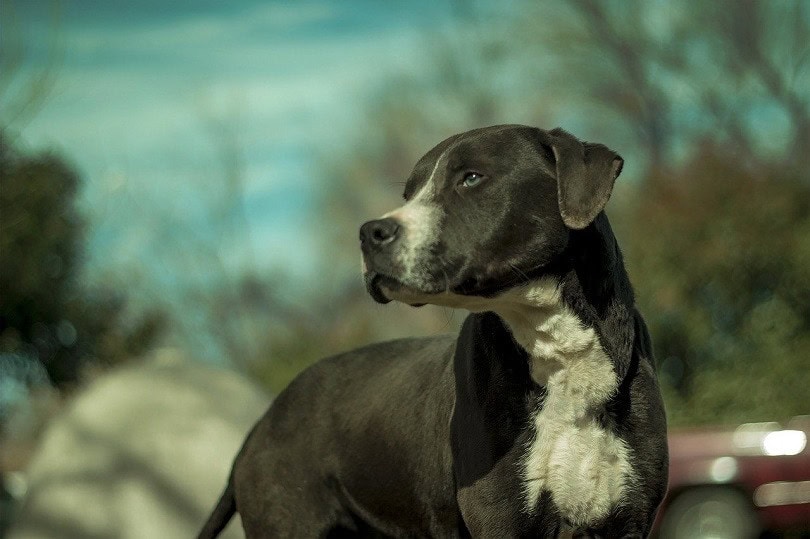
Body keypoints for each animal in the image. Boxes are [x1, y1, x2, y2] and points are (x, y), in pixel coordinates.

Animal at [199, 124, 664, 536]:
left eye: (471, 178)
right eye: (408, 194)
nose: (370, 231)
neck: (555, 347)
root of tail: (264, 420)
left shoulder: (630, 518)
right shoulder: (500, 516)